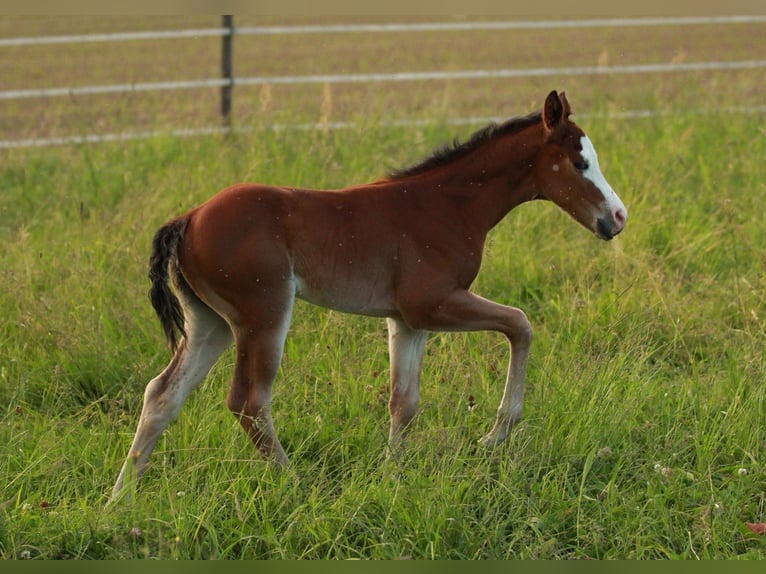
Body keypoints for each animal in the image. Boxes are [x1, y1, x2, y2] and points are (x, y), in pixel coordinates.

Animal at [111, 90, 627, 499]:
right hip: (263, 316)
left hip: (211, 323)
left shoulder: (408, 321)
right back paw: (296, 484)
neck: (447, 204)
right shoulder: (434, 302)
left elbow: (404, 402)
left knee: (162, 394)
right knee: (249, 402)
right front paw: (495, 436)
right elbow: (521, 324)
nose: (618, 218)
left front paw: (391, 476)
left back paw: (120, 498)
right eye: (580, 162)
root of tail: (189, 218)